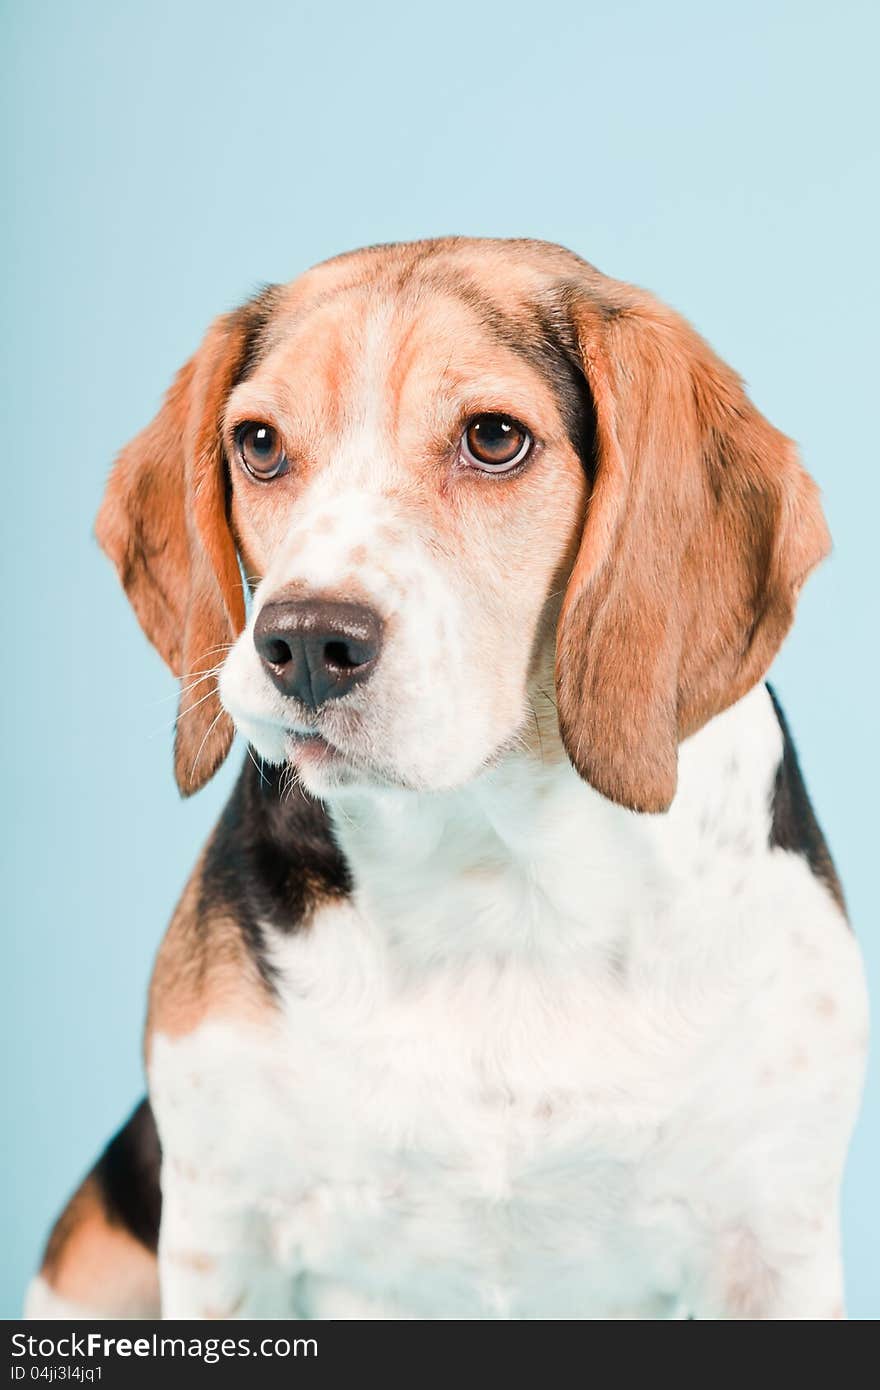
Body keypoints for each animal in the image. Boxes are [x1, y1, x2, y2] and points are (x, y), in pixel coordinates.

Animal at [27, 236, 867, 1312]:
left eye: (494, 437)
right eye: (258, 443)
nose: (304, 643)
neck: (496, 863)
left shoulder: (772, 1243)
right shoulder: (224, 1230)